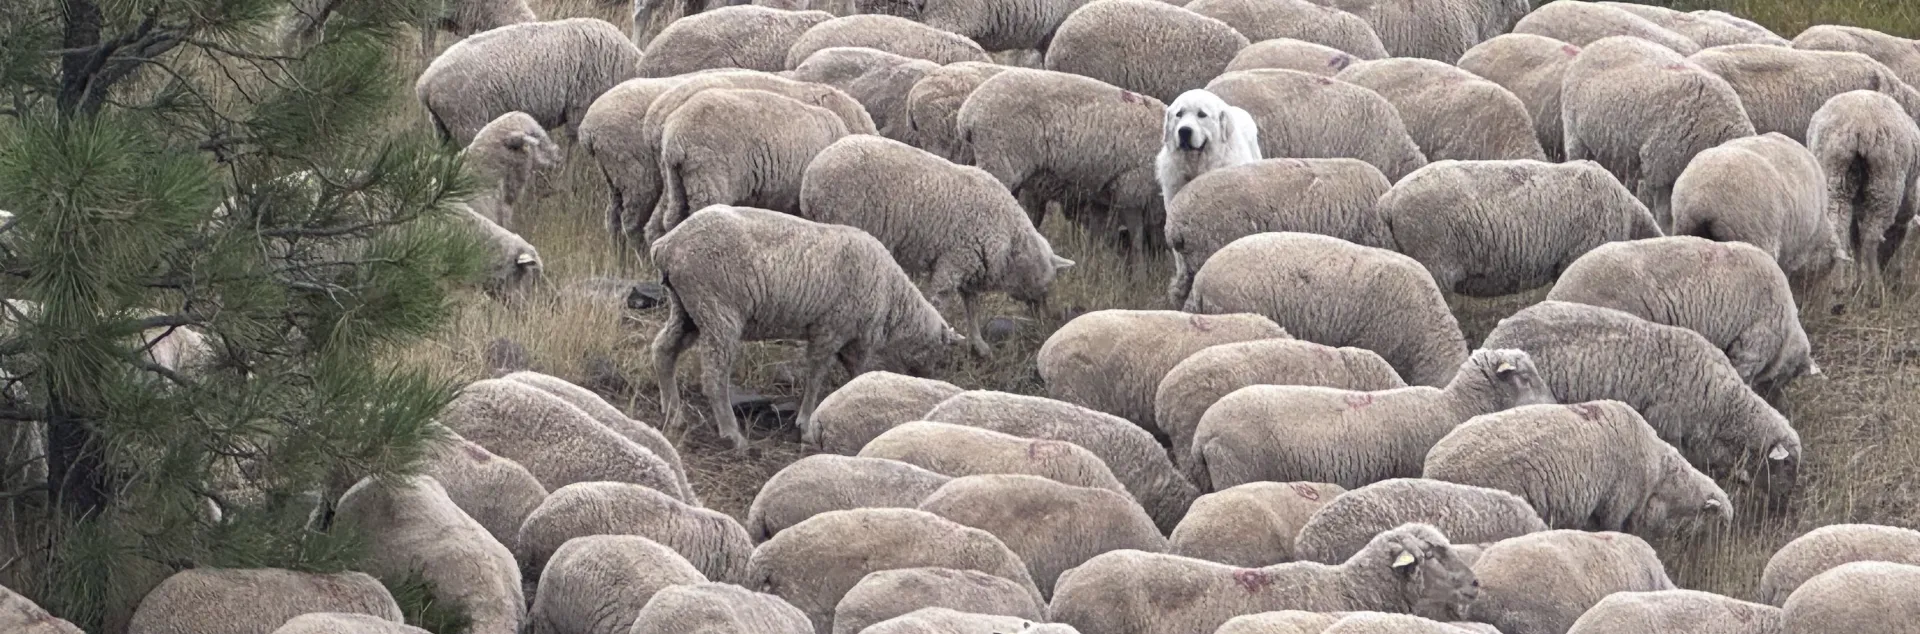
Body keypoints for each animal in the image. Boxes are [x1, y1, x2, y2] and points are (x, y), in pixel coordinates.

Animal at [798, 134, 1073, 357]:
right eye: (1047, 285)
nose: (1043, 322)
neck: (1011, 243)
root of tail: (811, 176)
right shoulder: (955, 261)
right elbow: (940, 301)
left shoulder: (972, 264)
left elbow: (971, 305)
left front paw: (978, 345)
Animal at [955, 68, 1167, 257]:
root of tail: (968, 113)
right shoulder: (1133, 187)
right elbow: (1137, 236)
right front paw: (1140, 270)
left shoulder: (1103, 196)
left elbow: (1099, 236)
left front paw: (1095, 260)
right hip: (998, 162)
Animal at [1807, 90, 1920, 300]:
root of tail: (1857, 127)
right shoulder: (1906, 206)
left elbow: (1855, 239)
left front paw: (1859, 281)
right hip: (1884, 183)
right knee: (1871, 237)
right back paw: (1874, 293)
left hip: (1835, 176)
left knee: (1840, 229)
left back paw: (1839, 288)